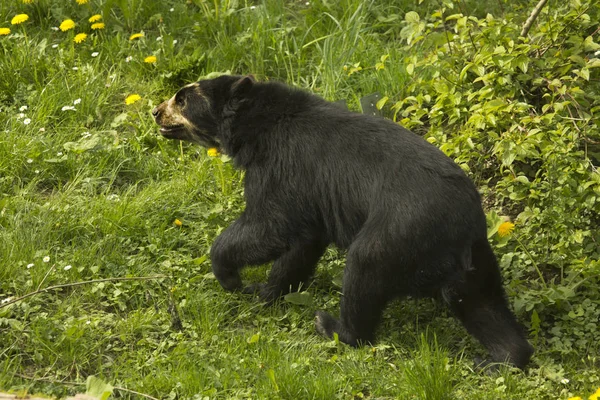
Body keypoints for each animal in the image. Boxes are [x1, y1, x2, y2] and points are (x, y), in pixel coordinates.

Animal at [152, 74, 532, 368]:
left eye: (182, 98)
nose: (156, 112)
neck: (257, 127)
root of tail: (463, 230)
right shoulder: (311, 199)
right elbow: (302, 244)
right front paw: (268, 291)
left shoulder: (282, 168)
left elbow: (270, 226)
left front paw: (231, 276)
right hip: (474, 264)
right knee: (482, 305)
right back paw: (501, 358)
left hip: (397, 234)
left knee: (364, 270)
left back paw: (333, 327)